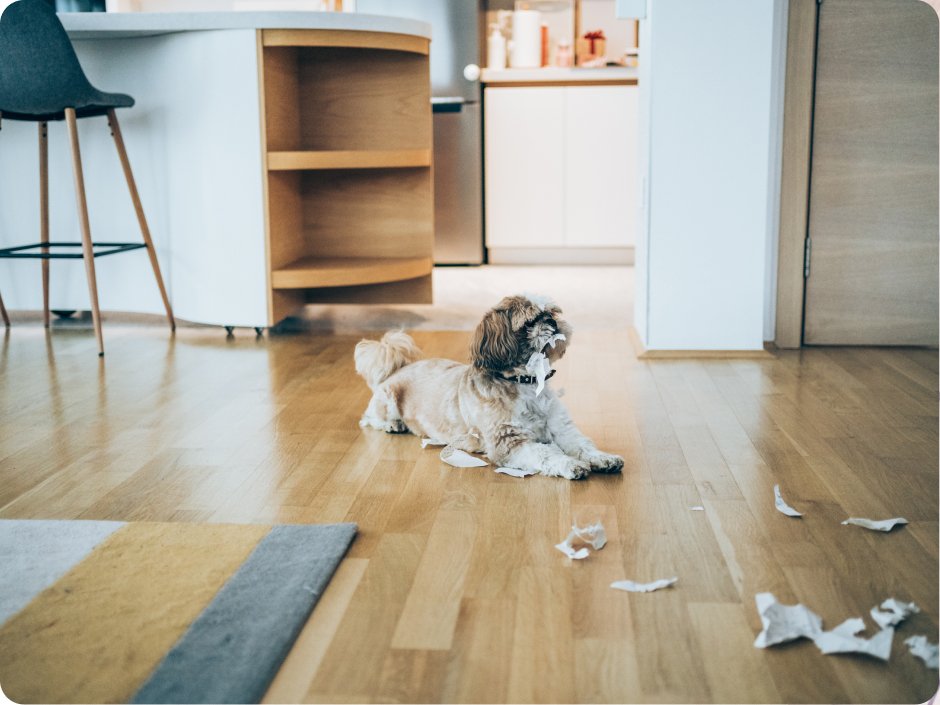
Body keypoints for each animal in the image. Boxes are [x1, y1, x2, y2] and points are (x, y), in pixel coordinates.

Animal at [352, 292, 624, 478]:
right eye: (529, 322)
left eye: (552, 313)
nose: (552, 323)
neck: (525, 383)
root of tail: (397, 369)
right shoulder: (509, 442)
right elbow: (546, 453)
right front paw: (570, 464)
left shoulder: (562, 429)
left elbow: (582, 445)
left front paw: (603, 458)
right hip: (386, 400)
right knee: (368, 418)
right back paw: (393, 424)